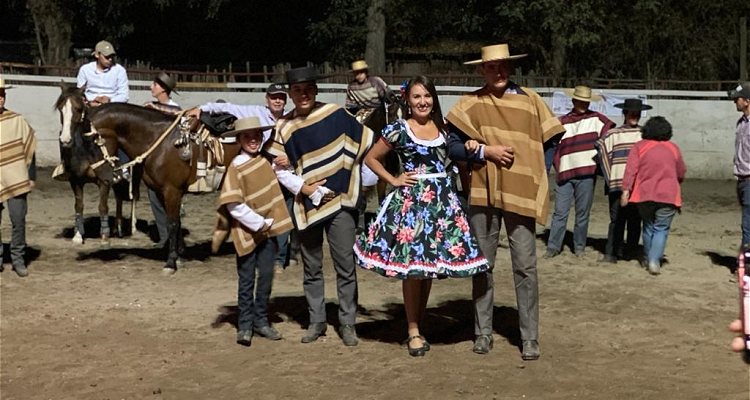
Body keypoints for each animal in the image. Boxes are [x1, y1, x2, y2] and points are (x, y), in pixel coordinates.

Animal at [54, 85, 129, 247]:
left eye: (78, 109)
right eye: (60, 108)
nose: (65, 140)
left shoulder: (104, 180)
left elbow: (103, 206)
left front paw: (104, 237)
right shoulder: (76, 181)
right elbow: (78, 205)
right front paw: (77, 235)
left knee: (119, 196)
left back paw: (119, 228)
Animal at [88, 103, 241, 274]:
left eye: (94, 141)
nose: (102, 176)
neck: (157, 139)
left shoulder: (172, 190)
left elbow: (172, 224)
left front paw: (171, 262)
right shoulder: (161, 192)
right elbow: (177, 222)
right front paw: (180, 257)